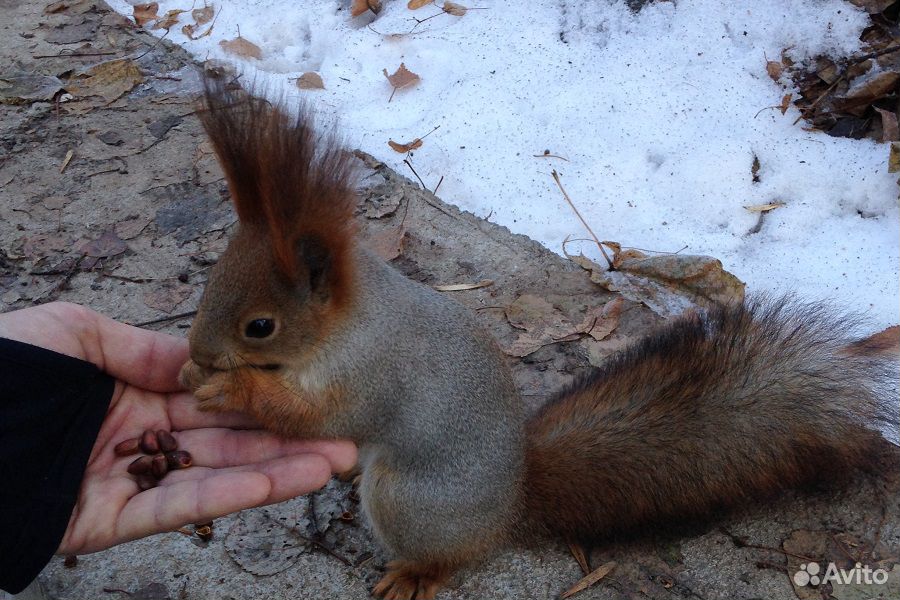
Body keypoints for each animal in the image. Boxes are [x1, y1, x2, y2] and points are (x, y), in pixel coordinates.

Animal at [179, 81, 896, 600]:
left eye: (260, 326)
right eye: (212, 280)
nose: (196, 355)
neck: (347, 328)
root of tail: (510, 506)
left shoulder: (370, 378)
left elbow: (318, 419)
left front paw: (231, 387)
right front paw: (198, 379)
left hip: (412, 501)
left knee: (448, 555)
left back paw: (415, 574)